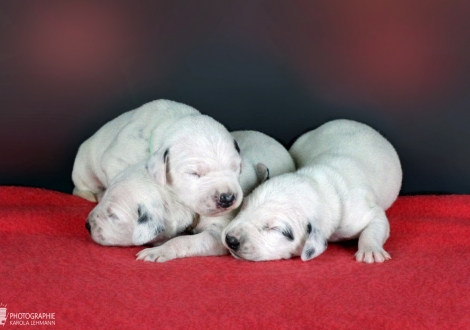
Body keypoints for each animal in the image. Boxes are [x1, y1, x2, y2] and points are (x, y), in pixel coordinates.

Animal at [136, 130, 296, 262]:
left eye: (234, 169)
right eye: (194, 173)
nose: (226, 199)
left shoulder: (217, 234)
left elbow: (183, 240)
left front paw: (159, 251)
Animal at [222, 120, 402, 264]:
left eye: (275, 229)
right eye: (244, 207)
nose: (230, 239)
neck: (323, 184)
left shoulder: (363, 212)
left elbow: (376, 224)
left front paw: (370, 250)